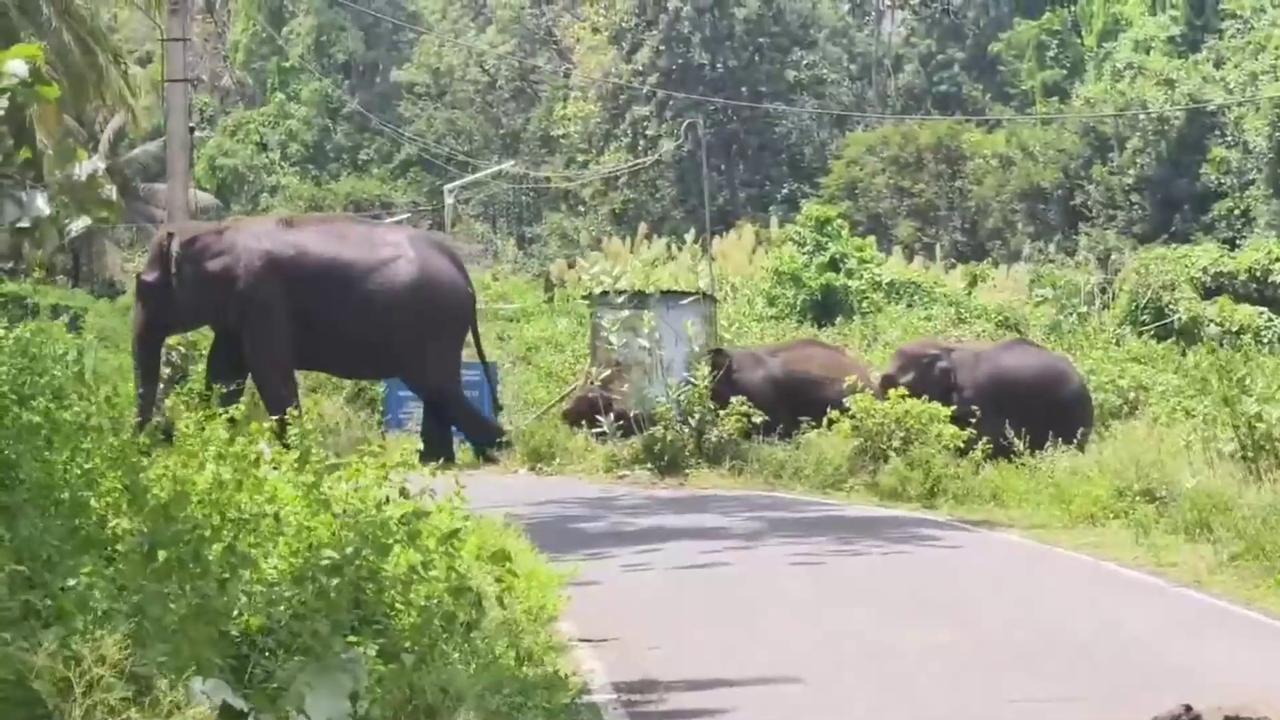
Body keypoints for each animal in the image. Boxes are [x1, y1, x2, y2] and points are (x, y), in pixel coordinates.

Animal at [131, 213, 504, 465]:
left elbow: (270, 372)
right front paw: (215, 443)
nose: (151, 440)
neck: (215, 230)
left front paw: (294, 457)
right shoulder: (238, 313)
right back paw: (440, 460)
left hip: (434, 323)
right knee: (438, 391)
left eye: (144, 287)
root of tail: (462, 270)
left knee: (437, 387)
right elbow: (225, 372)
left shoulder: (262, 299)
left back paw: (496, 450)